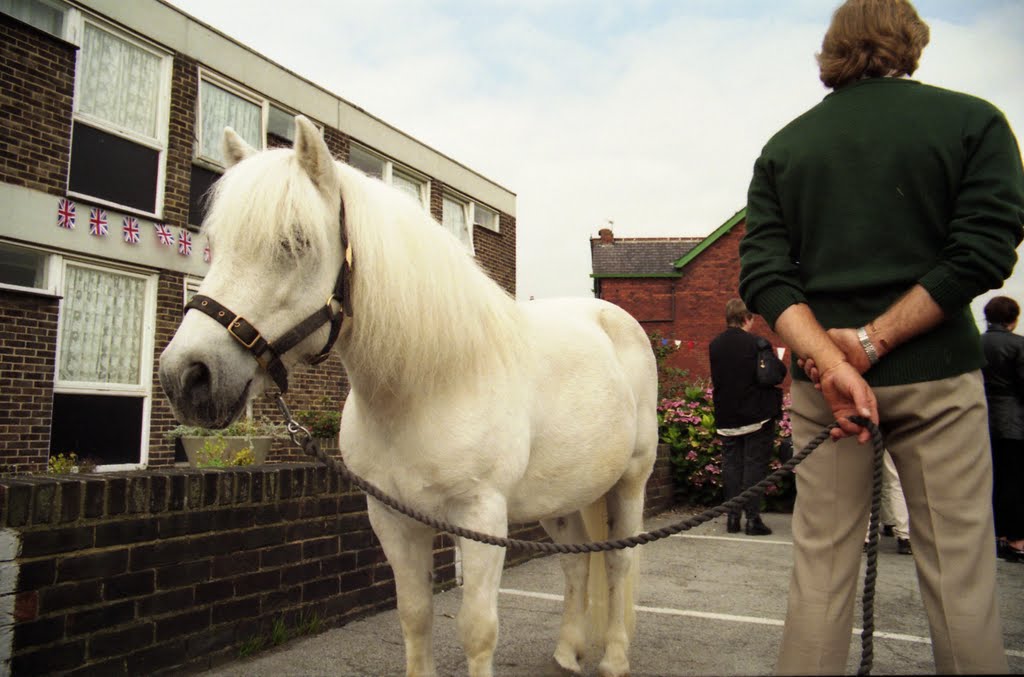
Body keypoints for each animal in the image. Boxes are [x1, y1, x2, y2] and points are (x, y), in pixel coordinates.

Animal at [157, 117, 655, 675]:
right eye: (216, 244)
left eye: (295, 242)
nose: (188, 376)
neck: (429, 387)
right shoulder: (393, 517)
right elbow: (415, 615)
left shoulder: (482, 515)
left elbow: (477, 630)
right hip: (563, 496)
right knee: (578, 561)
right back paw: (568, 651)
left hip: (631, 480)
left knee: (620, 558)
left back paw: (614, 658)